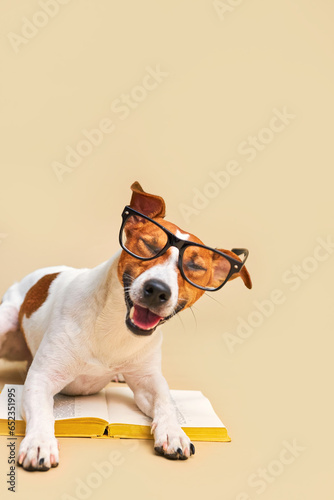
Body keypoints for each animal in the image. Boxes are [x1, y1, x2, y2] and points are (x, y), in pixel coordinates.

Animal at [0, 182, 250, 470]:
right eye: (148, 245)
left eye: (194, 266)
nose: (157, 290)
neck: (114, 328)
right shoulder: (42, 377)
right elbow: (43, 412)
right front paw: (40, 442)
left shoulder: (148, 381)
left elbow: (166, 401)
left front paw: (174, 432)